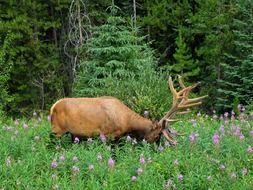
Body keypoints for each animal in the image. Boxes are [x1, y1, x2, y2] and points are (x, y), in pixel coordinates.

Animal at [50, 75, 207, 143]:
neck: (127, 122)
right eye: (157, 135)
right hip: (57, 130)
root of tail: (52, 107)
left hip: (71, 134)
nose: (157, 149)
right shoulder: (110, 135)